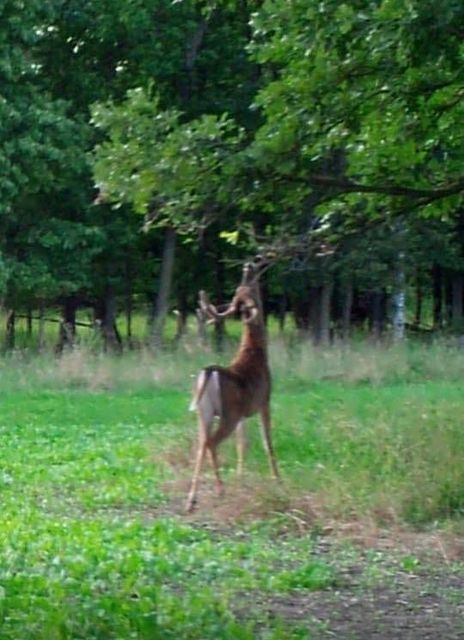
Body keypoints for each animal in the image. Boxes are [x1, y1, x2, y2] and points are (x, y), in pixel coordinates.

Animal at [186, 261, 280, 512]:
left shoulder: (244, 415)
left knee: (201, 444)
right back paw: (219, 489)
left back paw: (192, 499)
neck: (256, 354)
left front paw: (240, 478)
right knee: (211, 442)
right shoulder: (264, 401)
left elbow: (242, 444)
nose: (249, 265)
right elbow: (267, 442)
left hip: (204, 412)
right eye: (248, 288)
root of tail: (208, 371)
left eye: (243, 285)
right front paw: (278, 479)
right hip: (228, 413)